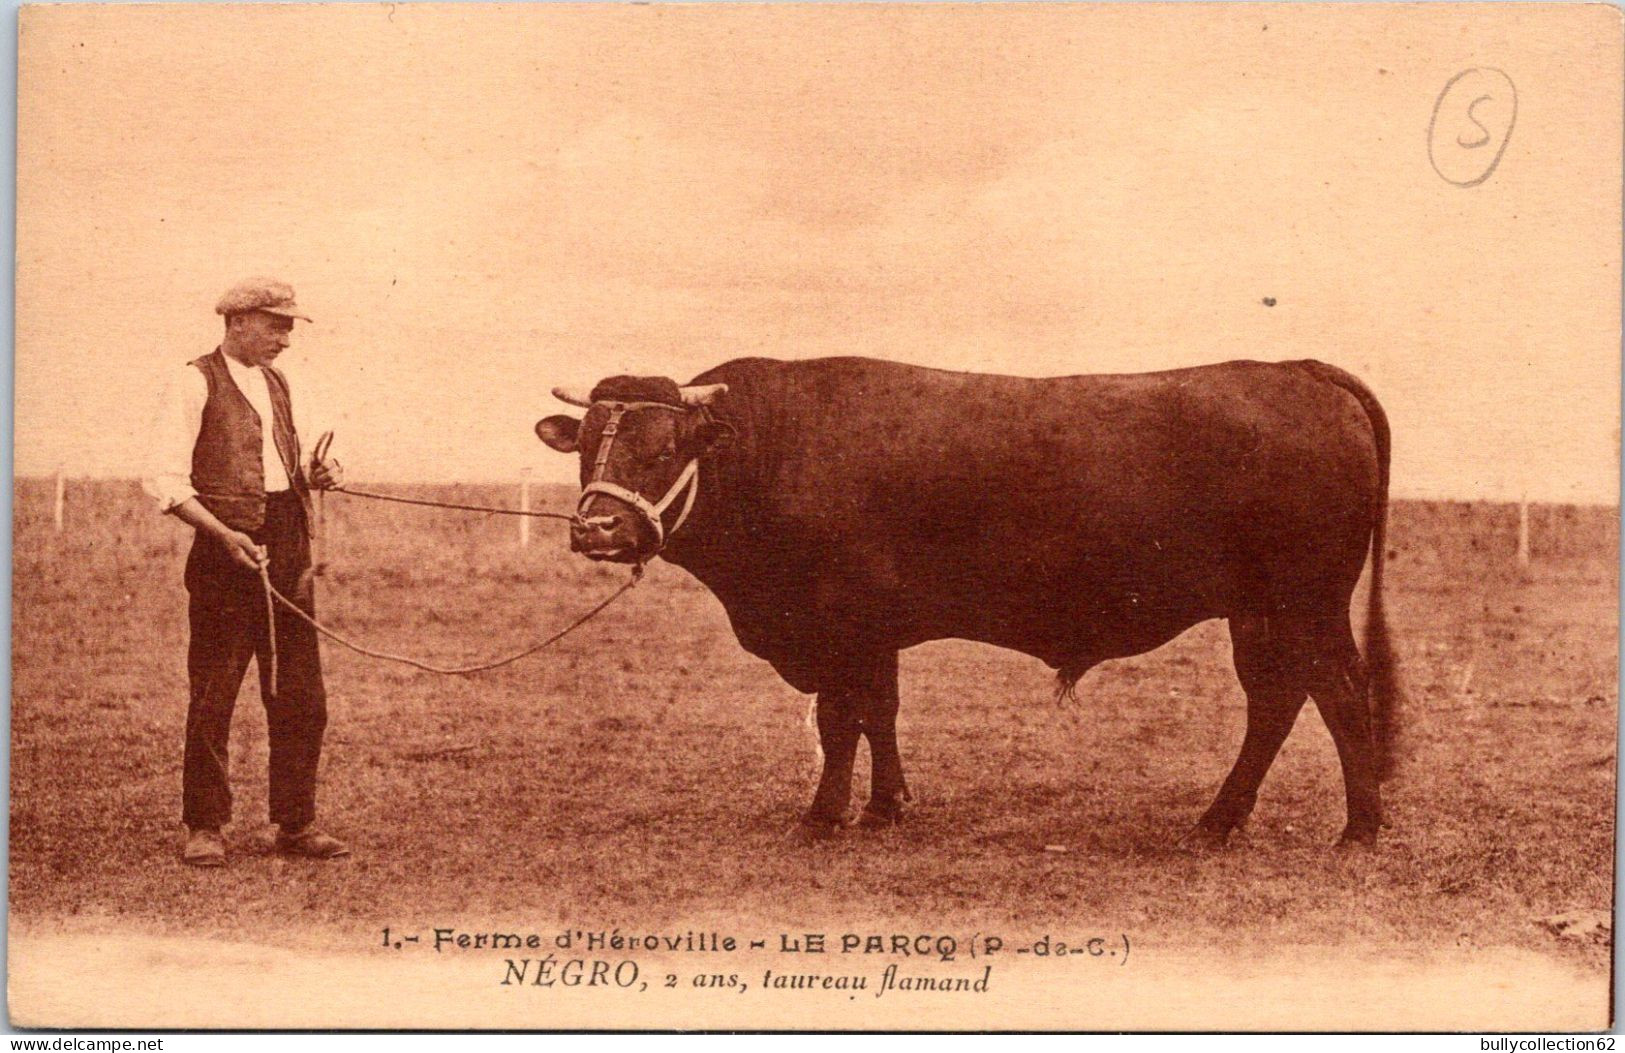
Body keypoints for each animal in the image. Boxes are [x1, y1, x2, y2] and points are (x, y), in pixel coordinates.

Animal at [539, 355, 1404, 845]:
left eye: (662, 447)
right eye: (587, 447)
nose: (597, 528)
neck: (773, 447)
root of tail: (1295, 369)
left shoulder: (840, 623)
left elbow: (841, 719)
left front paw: (824, 816)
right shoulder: (874, 629)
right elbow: (879, 712)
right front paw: (886, 807)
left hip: (1305, 602)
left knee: (1335, 693)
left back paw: (1357, 829)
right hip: (1258, 610)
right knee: (1276, 701)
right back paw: (1221, 819)